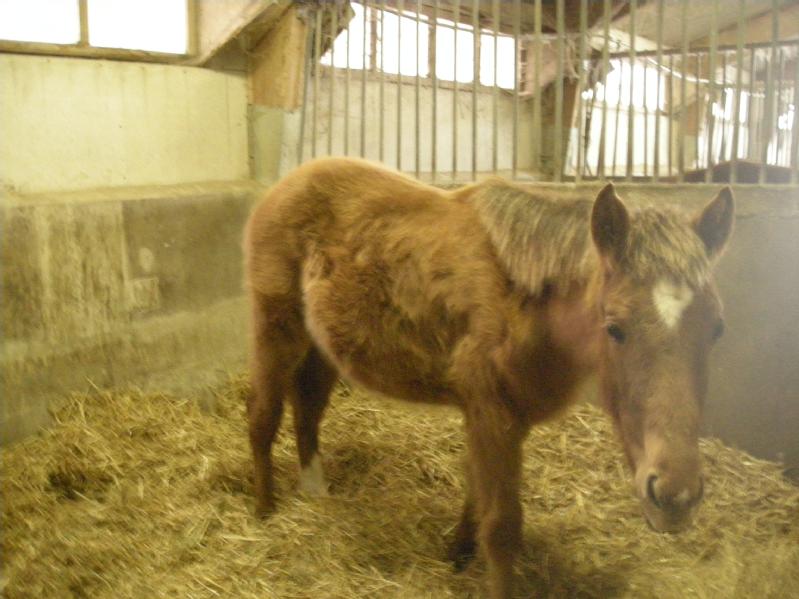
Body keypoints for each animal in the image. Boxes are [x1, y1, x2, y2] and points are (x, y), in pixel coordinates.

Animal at [243, 157, 734, 599]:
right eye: (614, 327)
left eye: (717, 329)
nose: (675, 496)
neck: (525, 304)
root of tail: (284, 185)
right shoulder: (492, 415)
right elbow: (501, 527)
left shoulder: (501, 419)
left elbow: (476, 493)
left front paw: (457, 552)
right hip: (277, 332)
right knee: (263, 415)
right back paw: (265, 510)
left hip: (322, 347)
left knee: (307, 410)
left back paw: (315, 492)